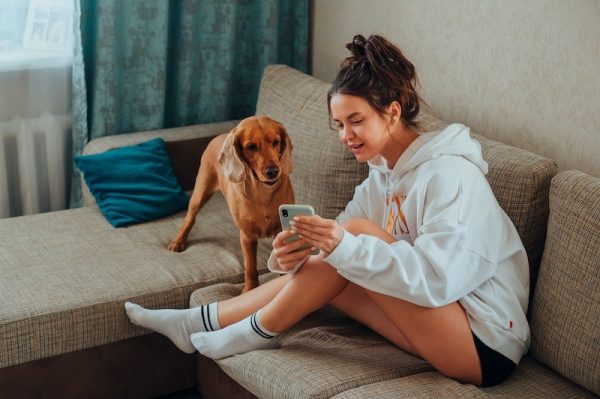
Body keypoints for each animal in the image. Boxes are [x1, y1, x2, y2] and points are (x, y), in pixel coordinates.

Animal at [168, 116, 294, 294]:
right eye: (251, 147)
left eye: (276, 142)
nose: (273, 171)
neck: (262, 191)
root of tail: (219, 136)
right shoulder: (247, 236)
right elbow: (250, 267)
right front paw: (249, 290)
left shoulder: (281, 232)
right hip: (200, 191)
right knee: (190, 218)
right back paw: (179, 241)